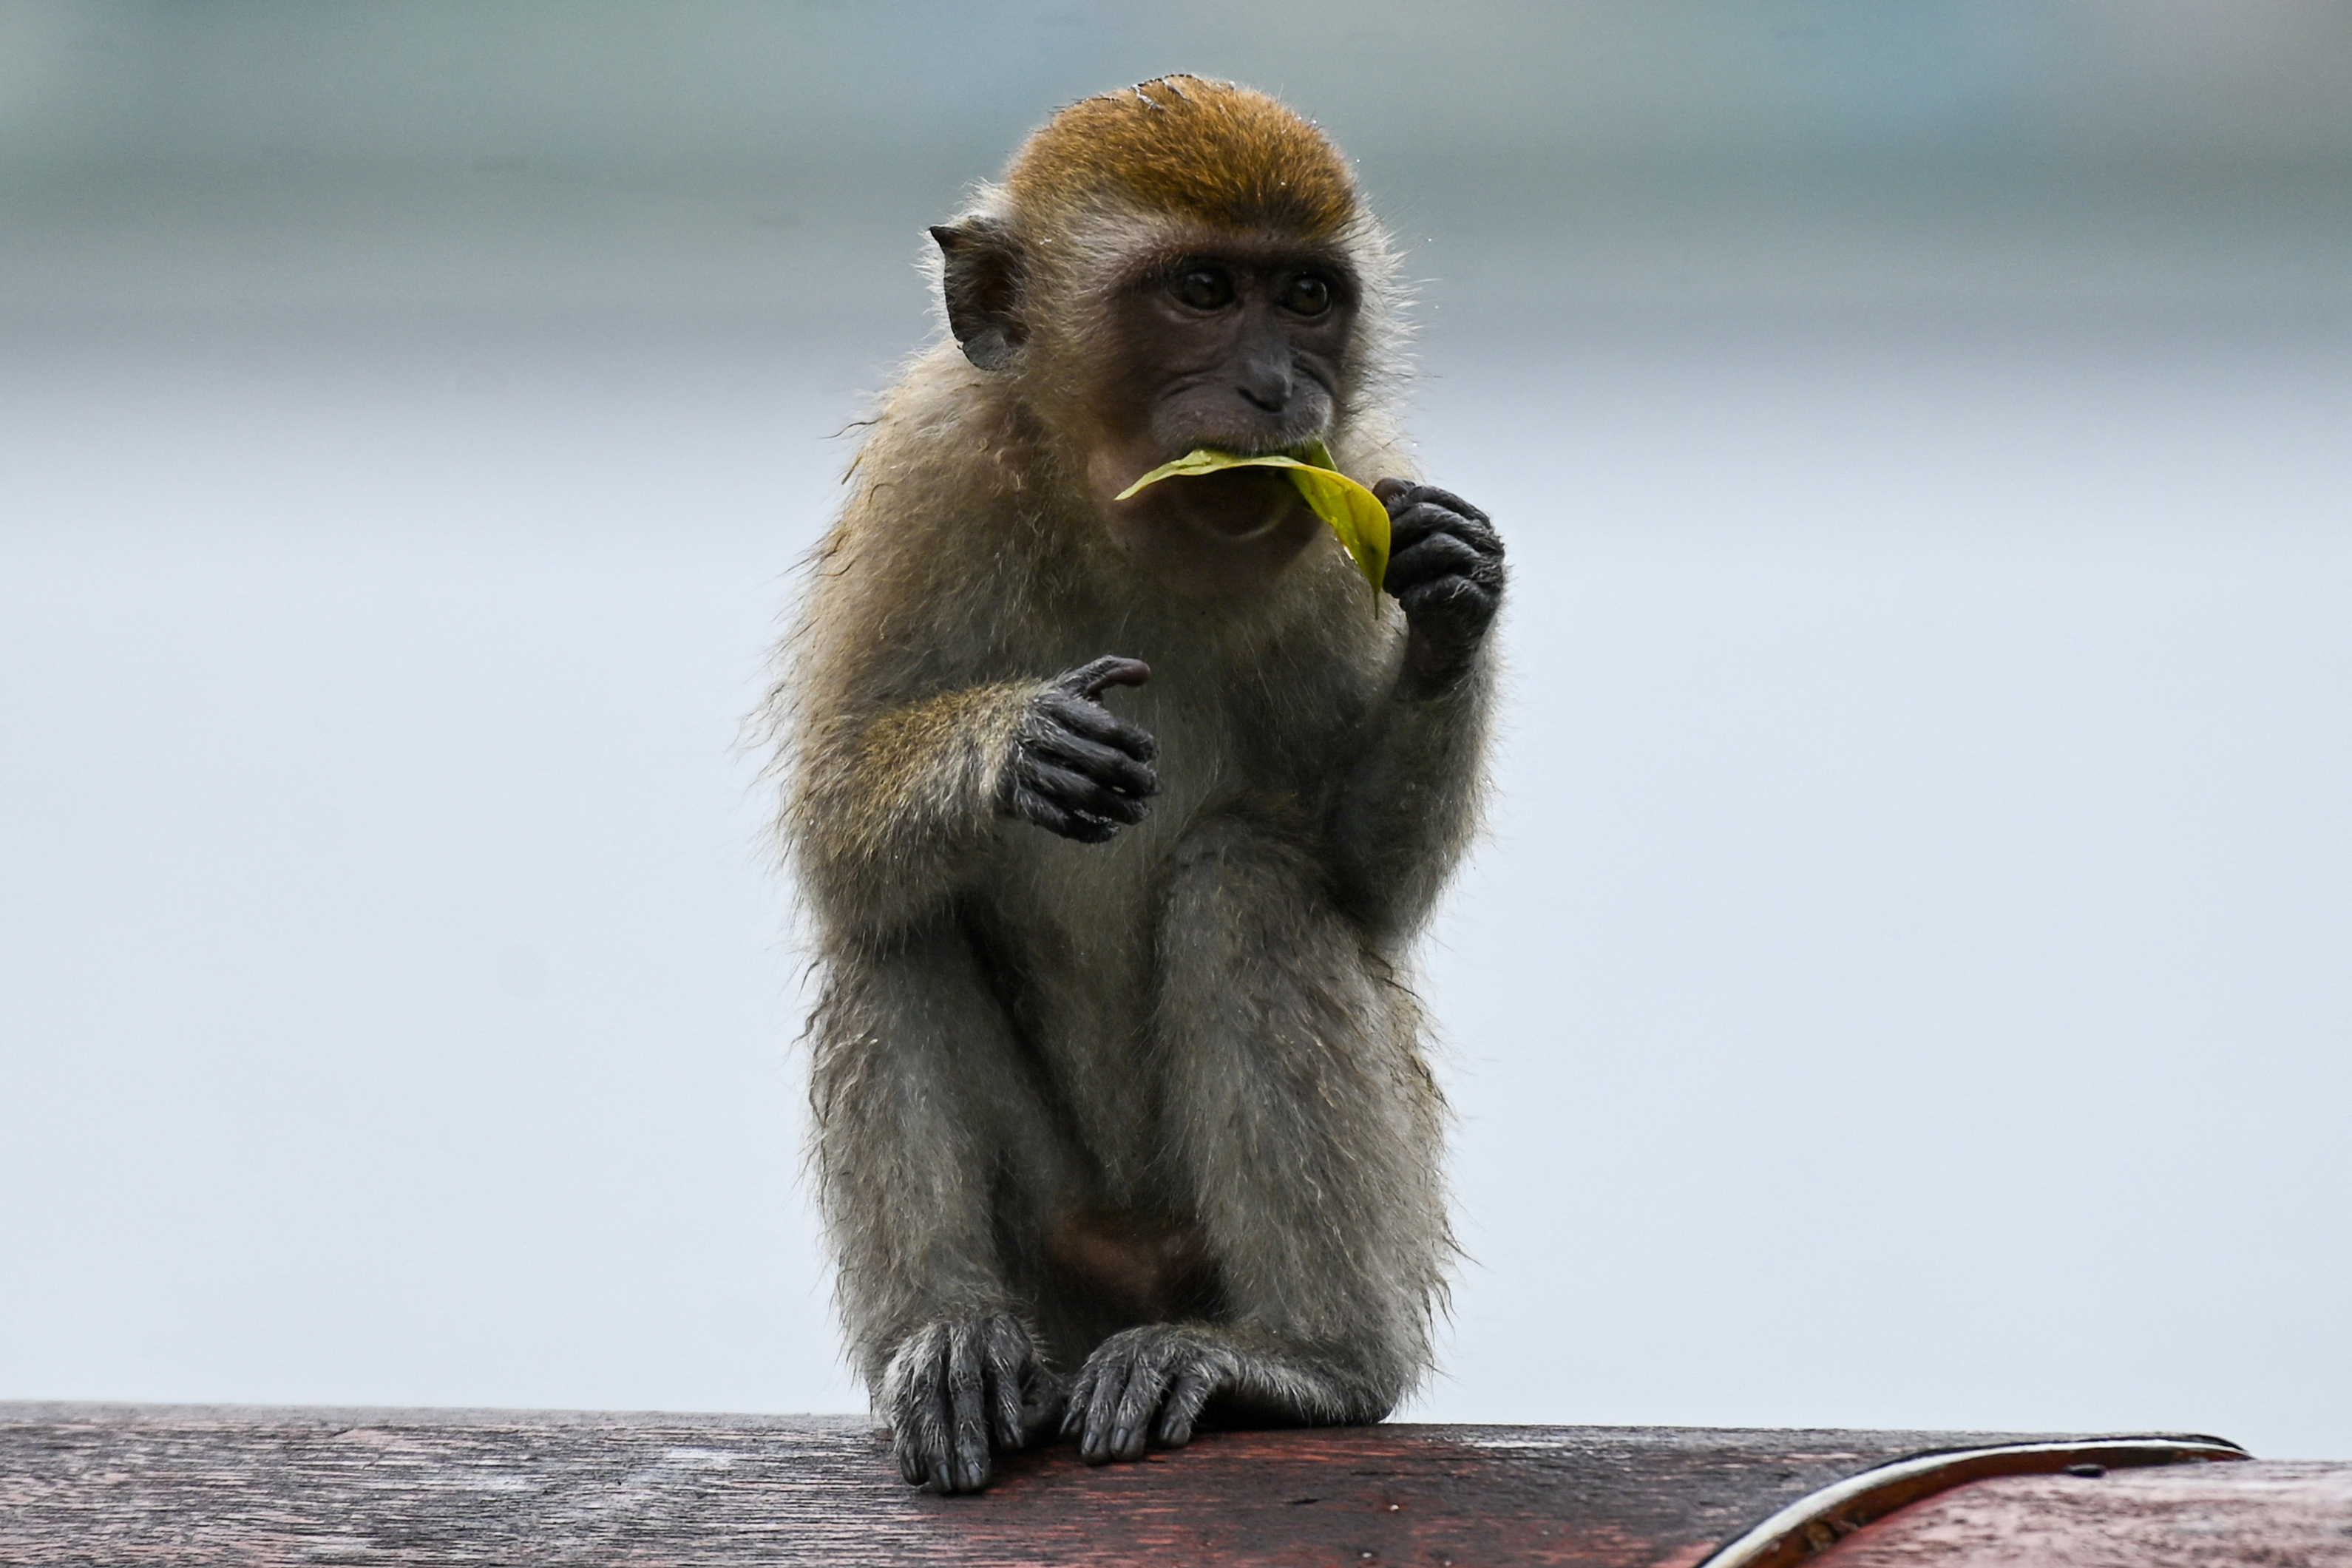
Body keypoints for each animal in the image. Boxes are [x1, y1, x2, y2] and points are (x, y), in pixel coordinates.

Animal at [760, 76, 1505, 1494]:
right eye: (1204, 290)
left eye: (1307, 297)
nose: (1276, 387)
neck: (1126, 512)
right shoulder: (928, 469)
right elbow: (830, 831)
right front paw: (1017, 748)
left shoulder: (1351, 489)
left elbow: (1362, 888)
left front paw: (1450, 601)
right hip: (1059, 1262)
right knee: (892, 920)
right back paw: (951, 1340)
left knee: (1247, 877)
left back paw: (1303, 1361)